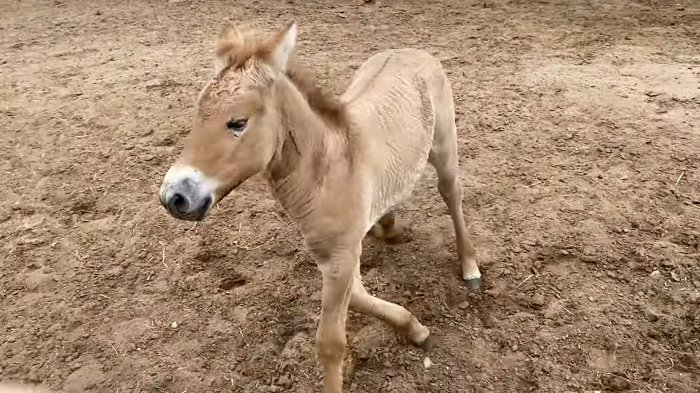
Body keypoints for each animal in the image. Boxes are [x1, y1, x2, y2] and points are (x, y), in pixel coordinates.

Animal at [159, 22, 484, 392]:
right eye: (198, 113)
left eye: (238, 123)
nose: (174, 196)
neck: (328, 169)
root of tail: (412, 51)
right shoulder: (335, 255)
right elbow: (358, 295)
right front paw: (415, 327)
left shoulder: (341, 256)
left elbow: (331, 344)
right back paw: (387, 224)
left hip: (444, 147)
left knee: (452, 194)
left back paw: (470, 267)